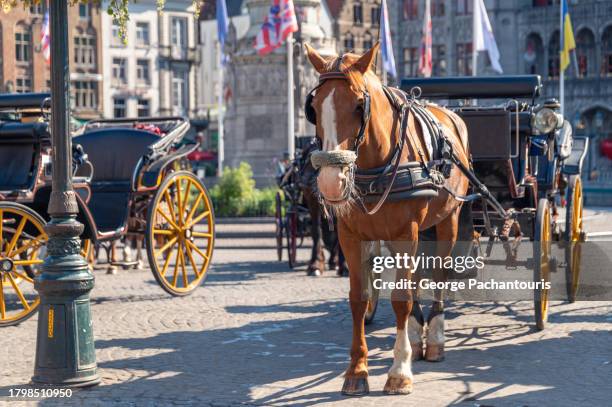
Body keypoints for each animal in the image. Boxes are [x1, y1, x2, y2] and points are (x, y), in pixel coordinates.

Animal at [304, 43, 470, 396]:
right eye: (313, 107)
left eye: (359, 105)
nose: (331, 182)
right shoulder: (351, 236)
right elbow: (358, 299)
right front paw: (357, 371)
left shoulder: (406, 232)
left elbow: (401, 300)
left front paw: (399, 371)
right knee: (417, 276)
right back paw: (418, 333)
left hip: (447, 220)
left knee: (439, 274)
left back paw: (435, 338)